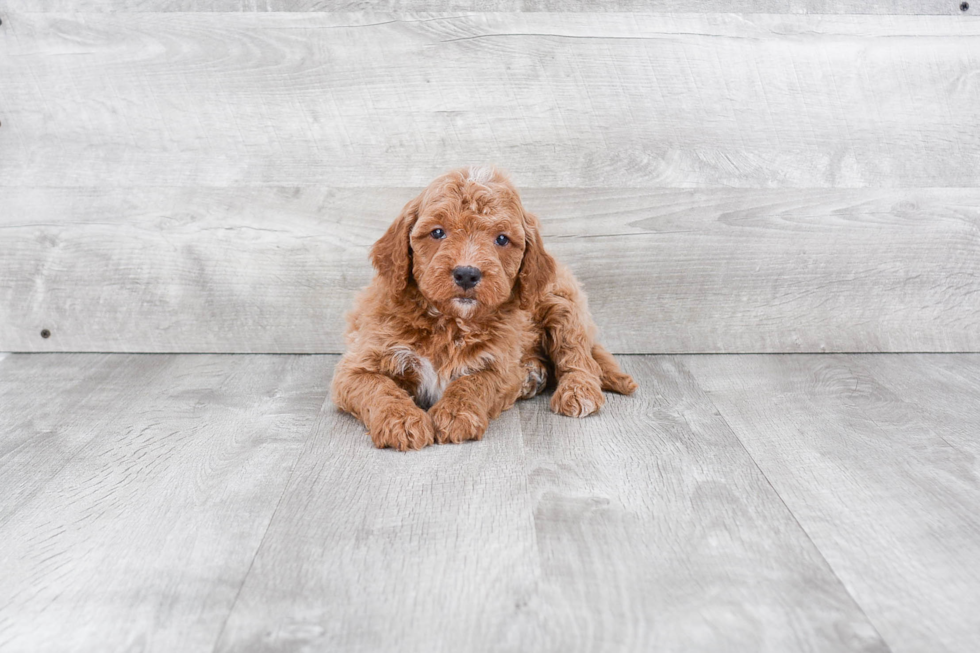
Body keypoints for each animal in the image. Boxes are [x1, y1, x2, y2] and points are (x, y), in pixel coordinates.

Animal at [330, 166, 636, 450]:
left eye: (501, 239)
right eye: (437, 232)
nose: (467, 274)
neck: (450, 322)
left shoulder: (500, 366)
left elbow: (473, 383)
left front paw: (455, 414)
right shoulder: (358, 365)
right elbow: (379, 387)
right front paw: (401, 420)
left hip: (562, 303)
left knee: (579, 356)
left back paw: (577, 389)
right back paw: (533, 375)